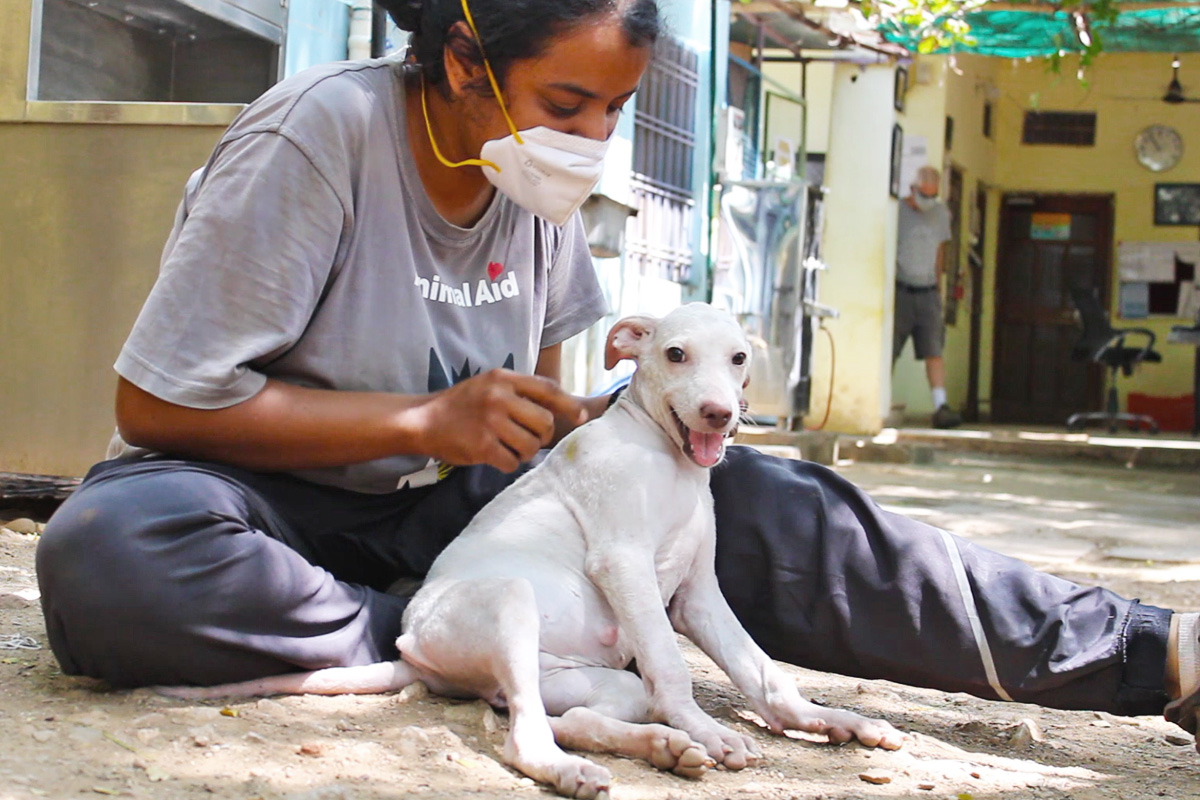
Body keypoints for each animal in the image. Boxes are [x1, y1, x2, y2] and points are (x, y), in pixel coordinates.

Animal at [166, 303, 902, 796]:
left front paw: (822, 719)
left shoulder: (697, 595)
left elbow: (762, 669)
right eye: (675, 355)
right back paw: (596, 764)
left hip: (598, 683)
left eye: (740, 359)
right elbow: (675, 667)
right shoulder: (624, 563)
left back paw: (660, 744)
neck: (666, 459)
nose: (720, 415)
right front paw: (712, 729)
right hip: (512, 603)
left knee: (569, 716)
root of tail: (415, 654)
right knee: (527, 736)